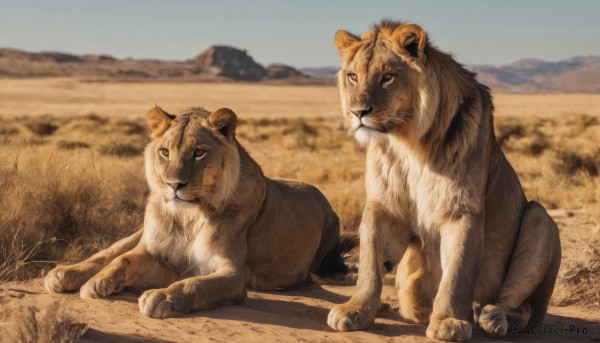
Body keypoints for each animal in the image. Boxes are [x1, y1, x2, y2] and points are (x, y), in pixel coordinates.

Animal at [48, 106, 356, 318]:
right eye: (164, 152)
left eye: (199, 152)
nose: (174, 185)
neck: (188, 215)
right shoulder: (156, 251)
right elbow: (122, 259)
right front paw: (99, 282)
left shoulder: (232, 274)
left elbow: (193, 284)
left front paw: (162, 297)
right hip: (143, 230)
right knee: (112, 250)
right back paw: (65, 273)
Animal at [326, 20, 560, 342]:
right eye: (353, 76)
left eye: (387, 77)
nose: (358, 112)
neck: (408, 142)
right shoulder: (383, 206)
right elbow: (370, 264)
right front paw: (356, 309)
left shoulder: (461, 210)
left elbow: (457, 272)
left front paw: (449, 320)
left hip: (539, 218)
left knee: (519, 306)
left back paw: (490, 317)